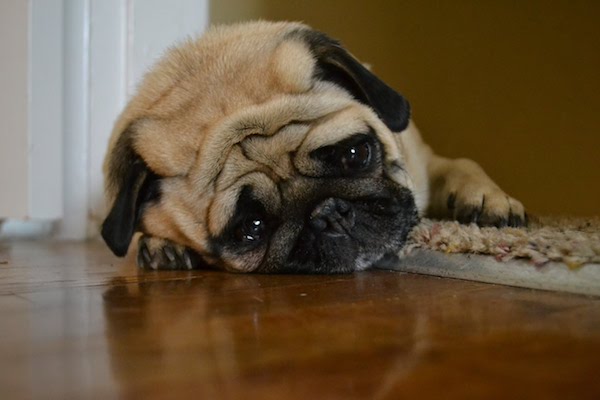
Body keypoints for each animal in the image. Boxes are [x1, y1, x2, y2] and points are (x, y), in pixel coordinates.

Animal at [101, 20, 528, 274]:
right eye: (251, 228)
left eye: (356, 154)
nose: (331, 213)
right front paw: (160, 243)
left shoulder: (424, 162)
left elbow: (461, 163)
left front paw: (487, 199)